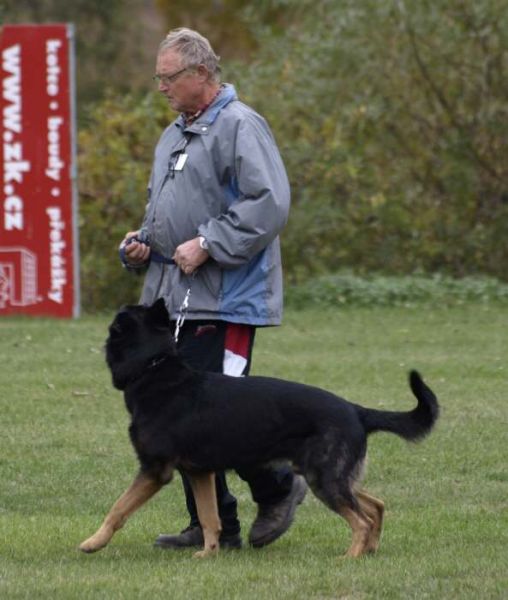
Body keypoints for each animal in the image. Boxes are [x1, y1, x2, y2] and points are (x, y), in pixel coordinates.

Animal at [79, 298, 439, 558]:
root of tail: (356, 410)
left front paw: (93, 542)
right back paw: (369, 551)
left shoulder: (155, 471)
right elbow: (210, 518)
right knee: (375, 505)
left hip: (324, 478)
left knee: (361, 520)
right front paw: (209, 554)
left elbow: (118, 509)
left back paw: (350, 556)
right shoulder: (200, 473)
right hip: (329, 476)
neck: (152, 367)